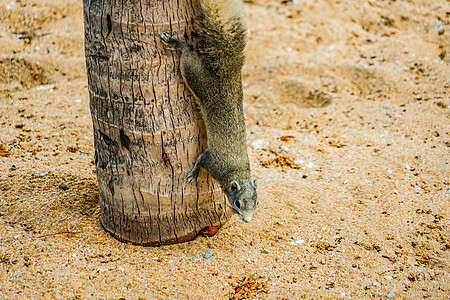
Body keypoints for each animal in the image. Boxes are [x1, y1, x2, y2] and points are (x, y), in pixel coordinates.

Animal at [159, 0, 256, 221]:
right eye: (237, 203)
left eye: (256, 202)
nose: (247, 220)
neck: (236, 171)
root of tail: (227, 72)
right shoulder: (212, 161)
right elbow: (199, 160)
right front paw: (193, 173)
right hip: (195, 75)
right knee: (188, 53)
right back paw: (177, 44)